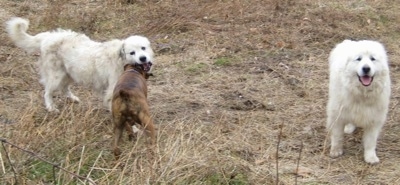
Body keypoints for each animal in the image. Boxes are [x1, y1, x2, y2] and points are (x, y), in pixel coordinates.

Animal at [5, 17, 154, 112]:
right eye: (132, 53)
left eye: (143, 48)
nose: (142, 58)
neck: (121, 60)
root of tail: (48, 36)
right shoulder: (113, 91)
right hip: (56, 76)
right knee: (47, 92)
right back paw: (51, 108)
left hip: (70, 73)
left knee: (64, 88)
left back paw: (73, 99)